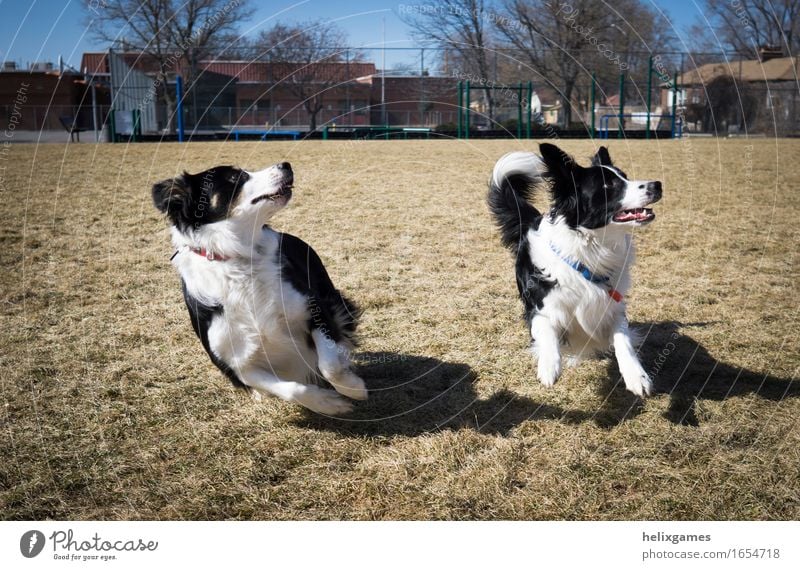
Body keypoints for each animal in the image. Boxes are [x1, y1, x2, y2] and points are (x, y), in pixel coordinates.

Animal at [152, 160, 368, 412]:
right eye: (234, 178)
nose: (286, 164)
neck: (237, 258)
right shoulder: (238, 364)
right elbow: (293, 390)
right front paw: (328, 404)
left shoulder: (313, 307)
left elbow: (329, 365)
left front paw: (353, 388)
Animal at [488, 143, 664, 394]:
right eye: (608, 185)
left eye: (625, 176)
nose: (657, 184)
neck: (589, 250)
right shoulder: (540, 307)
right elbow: (547, 332)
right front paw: (549, 366)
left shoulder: (613, 307)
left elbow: (623, 340)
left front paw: (636, 376)